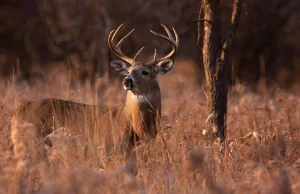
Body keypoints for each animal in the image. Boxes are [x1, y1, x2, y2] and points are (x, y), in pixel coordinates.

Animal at [11, 23, 179, 174]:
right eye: (129, 71)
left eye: (145, 72)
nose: (127, 80)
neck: (134, 125)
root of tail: (17, 112)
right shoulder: (109, 151)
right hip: (28, 145)